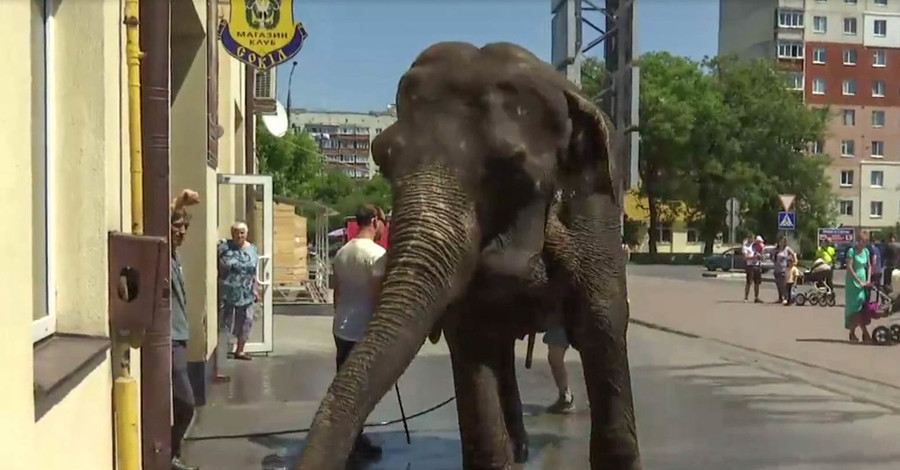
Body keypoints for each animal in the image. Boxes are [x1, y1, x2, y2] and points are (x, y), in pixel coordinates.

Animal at [292, 41, 636, 470]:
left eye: (513, 170)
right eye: (381, 157)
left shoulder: (596, 214)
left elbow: (603, 323)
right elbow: (472, 342)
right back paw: (519, 447)